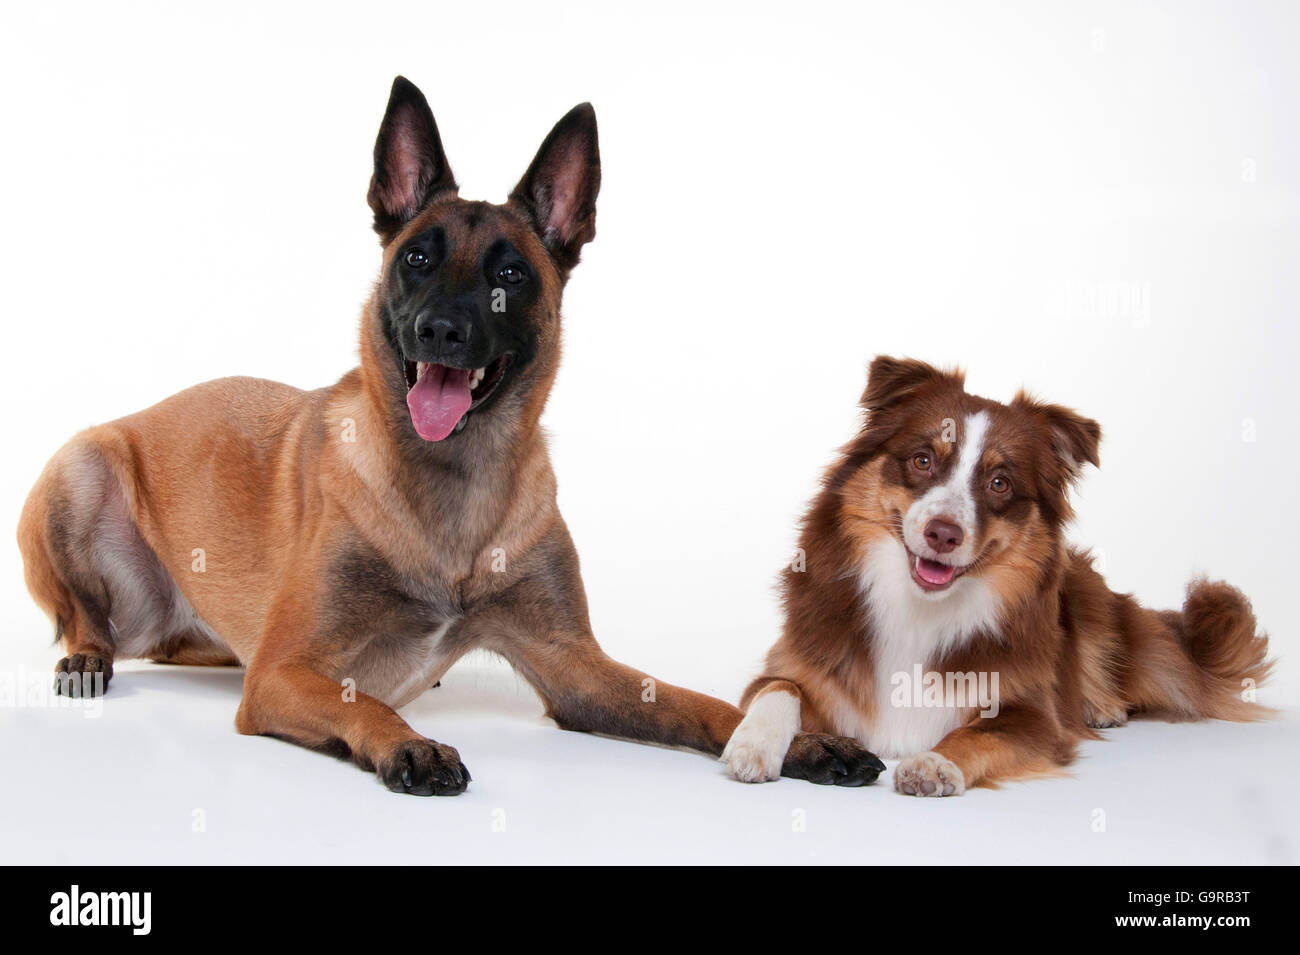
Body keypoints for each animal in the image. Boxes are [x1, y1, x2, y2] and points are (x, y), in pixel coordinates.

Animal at [17, 74, 883, 795]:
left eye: (510, 275)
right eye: (417, 259)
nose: (439, 330)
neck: (454, 489)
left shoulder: (576, 668)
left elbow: (691, 701)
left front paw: (798, 739)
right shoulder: (281, 674)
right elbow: (362, 703)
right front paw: (408, 743)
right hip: (79, 465)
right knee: (84, 615)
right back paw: (87, 655)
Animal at [728, 356, 1274, 795]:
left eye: (999, 483)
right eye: (923, 460)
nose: (943, 533)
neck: (919, 609)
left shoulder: (1030, 713)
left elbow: (978, 734)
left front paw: (935, 762)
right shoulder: (796, 661)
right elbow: (778, 690)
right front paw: (754, 745)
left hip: (1091, 599)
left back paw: (1104, 705)